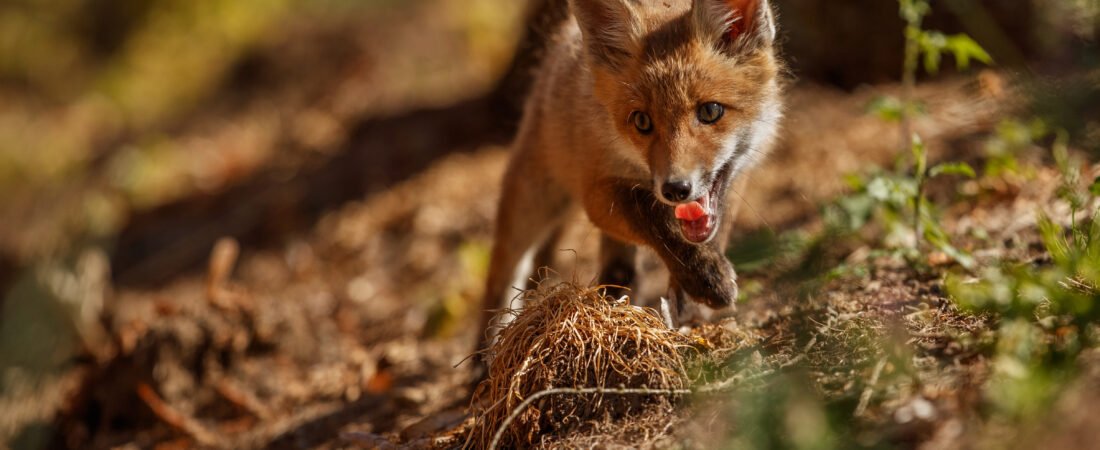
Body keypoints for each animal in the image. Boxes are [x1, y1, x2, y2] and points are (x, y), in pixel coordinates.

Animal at [477, 0, 783, 361]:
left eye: (710, 112)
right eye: (642, 121)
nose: (675, 189)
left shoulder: (737, 176)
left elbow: (712, 231)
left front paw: (692, 291)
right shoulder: (597, 193)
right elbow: (650, 215)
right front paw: (705, 277)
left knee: (618, 267)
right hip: (532, 202)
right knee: (501, 278)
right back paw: (484, 359)